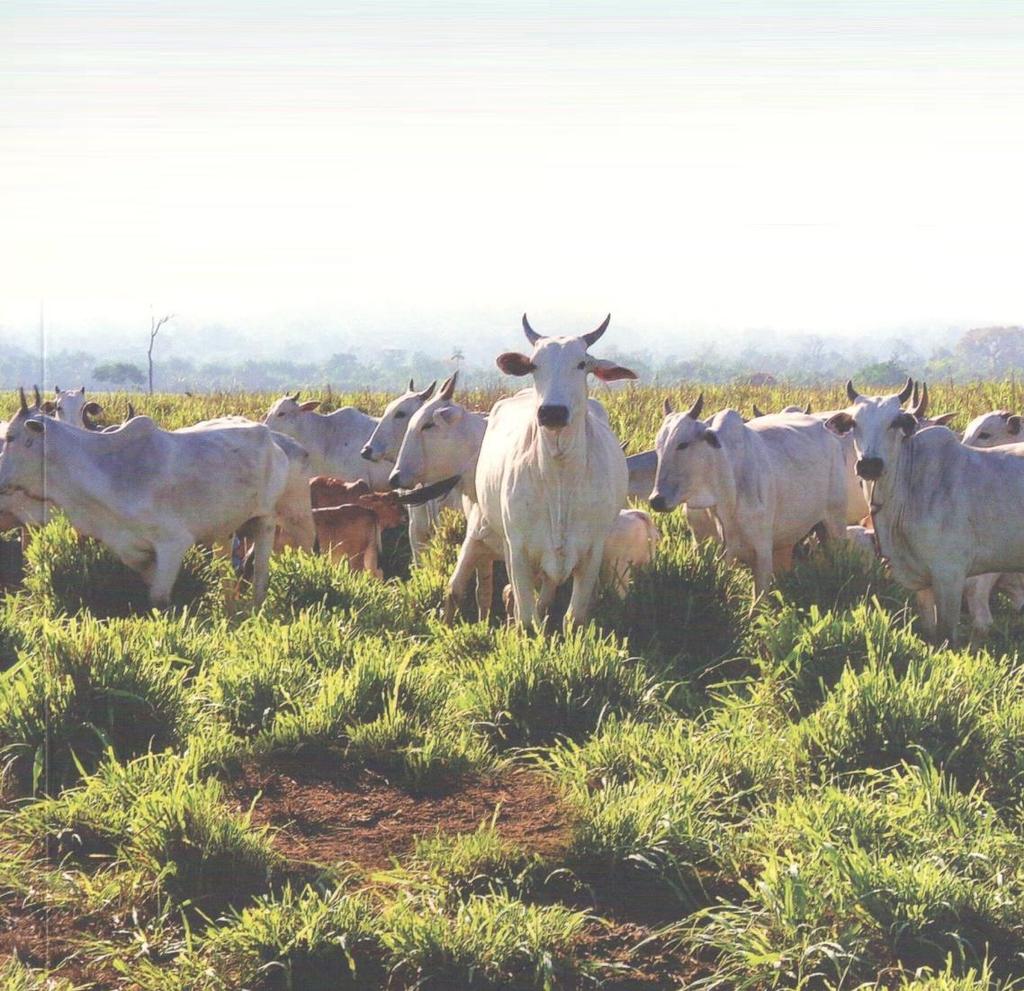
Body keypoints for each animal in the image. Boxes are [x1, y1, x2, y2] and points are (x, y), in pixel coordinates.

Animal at [0, 409, 290, 601]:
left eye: (11, 437)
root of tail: (267, 434)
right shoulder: (131, 549)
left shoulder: (173, 543)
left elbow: (158, 599)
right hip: (224, 530)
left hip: (265, 520)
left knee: (260, 573)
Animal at [475, 313, 634, 626]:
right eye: (534, 365)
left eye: (582, 363)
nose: (552, 412)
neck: (559, 477)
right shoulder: (518, 549)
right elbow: (525, 615)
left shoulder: (592, 551)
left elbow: (574, 617)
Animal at [647, 395, 847, 597]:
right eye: (658, 446)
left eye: (683, 444)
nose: (656, 500)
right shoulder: (702, 543)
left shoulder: (762, 551)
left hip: (835, 524)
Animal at [823, 376, 1024, 642]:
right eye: (854, 422)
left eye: (895, 422)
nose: (869, 465)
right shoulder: (924, 583)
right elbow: (930, 628)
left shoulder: (950, 575)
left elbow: (946, 634)